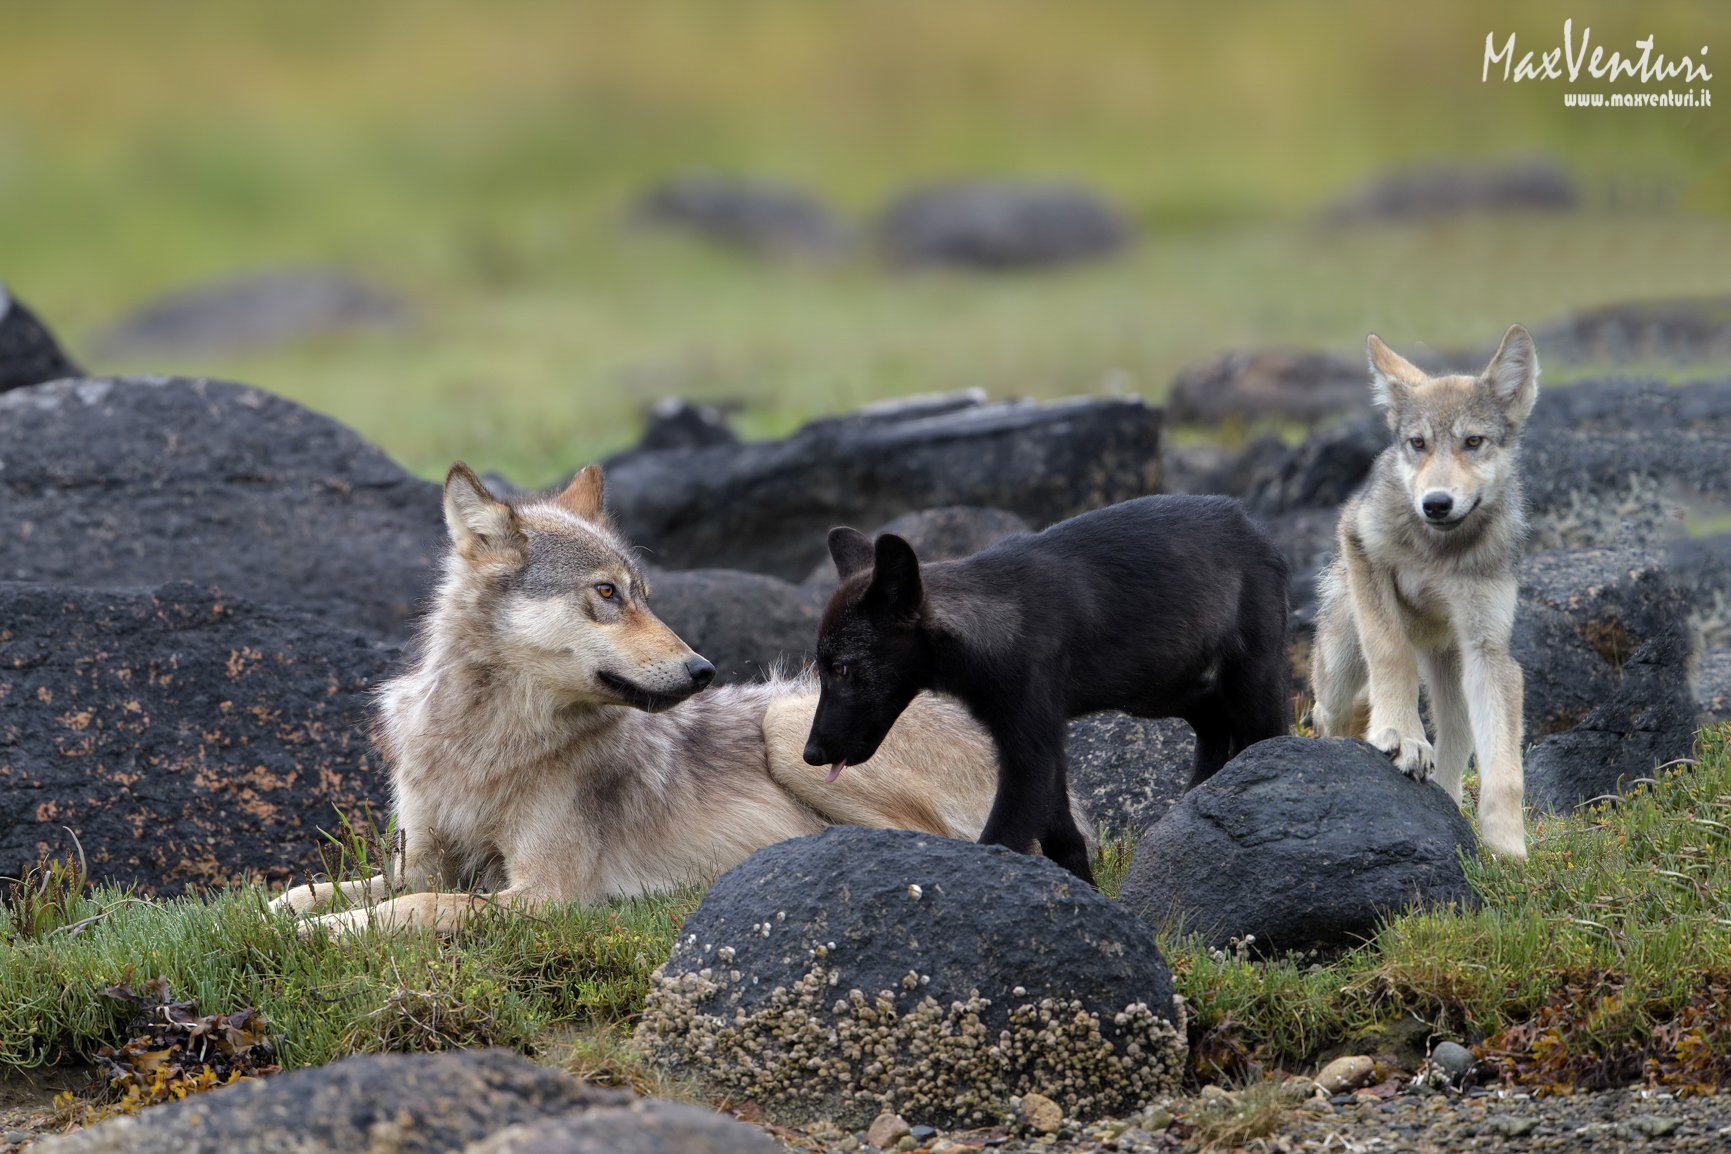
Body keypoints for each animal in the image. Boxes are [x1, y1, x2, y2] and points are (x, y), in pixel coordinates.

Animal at [270, 462, 1019, 935]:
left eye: (645, 596)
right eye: (608, 593)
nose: (703, 670)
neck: (483, 741)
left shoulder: (546, 896)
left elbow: (418, 909)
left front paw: (331, 930)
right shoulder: (421, 859)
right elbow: (318, 888)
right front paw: (283, 911)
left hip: (785, 723)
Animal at [801, 496, 1292, 884]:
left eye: (841, 669)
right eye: (824, 670)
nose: (810, 754)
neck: (995, 628)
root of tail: (1249, 521)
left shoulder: (1030, 750)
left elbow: (1001, 840)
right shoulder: (1034, 744)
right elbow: (1063, 838)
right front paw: (1087, 894)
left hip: (1247, 685)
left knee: (1266, 737)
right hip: (1154, 691)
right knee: (1212, 716)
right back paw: (1195, 793)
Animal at [1309, 325, 1539, 860]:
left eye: (1473, 442)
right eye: (1418, 443)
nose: (1435, 503)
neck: (1441, 552)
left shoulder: (1489, 652)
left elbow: (1506, 775)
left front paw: (1508, 852)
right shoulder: (1359, 543)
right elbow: (1391, 653)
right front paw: (1400, 735)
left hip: (1454, 677)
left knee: (1454, 750)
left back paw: (1447, 805)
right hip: (1340, 664)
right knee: (1326, 712)